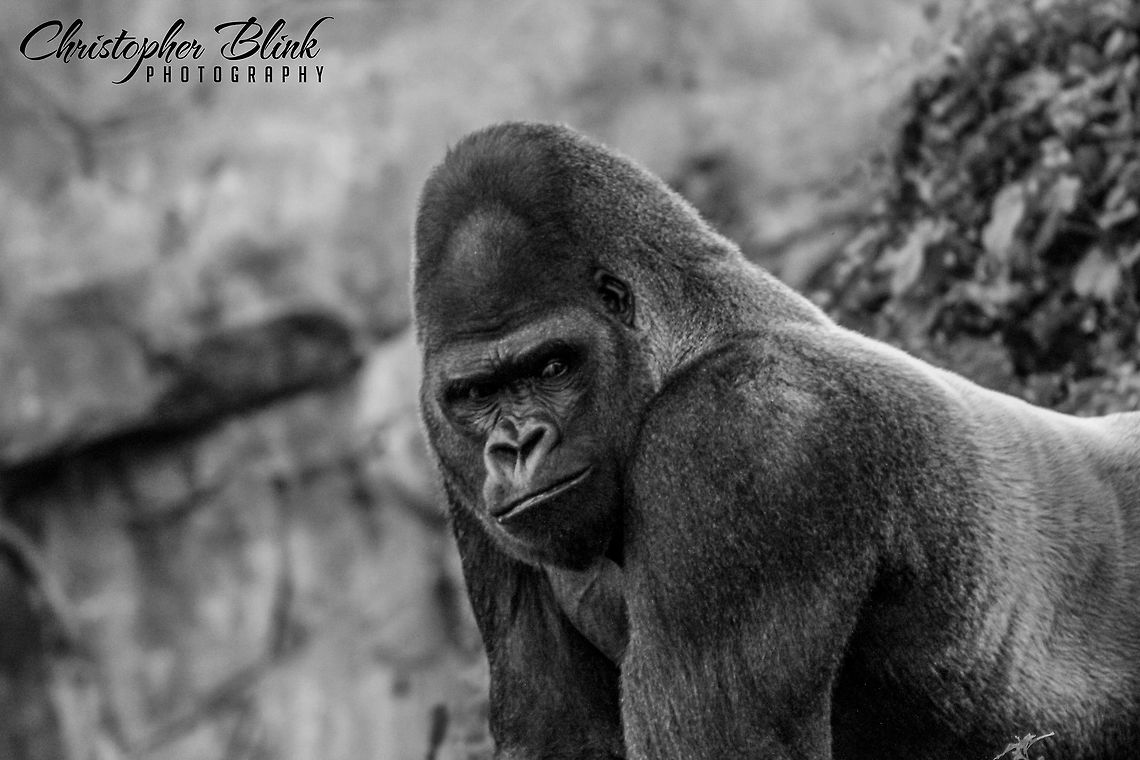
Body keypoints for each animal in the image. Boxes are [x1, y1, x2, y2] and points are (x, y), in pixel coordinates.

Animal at [412, 121, 1140, 760]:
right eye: (475, 394)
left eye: (552, 367)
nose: (517, 446)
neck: (685, 340)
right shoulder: (466, 484)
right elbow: (557, 734)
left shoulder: (738, 438)